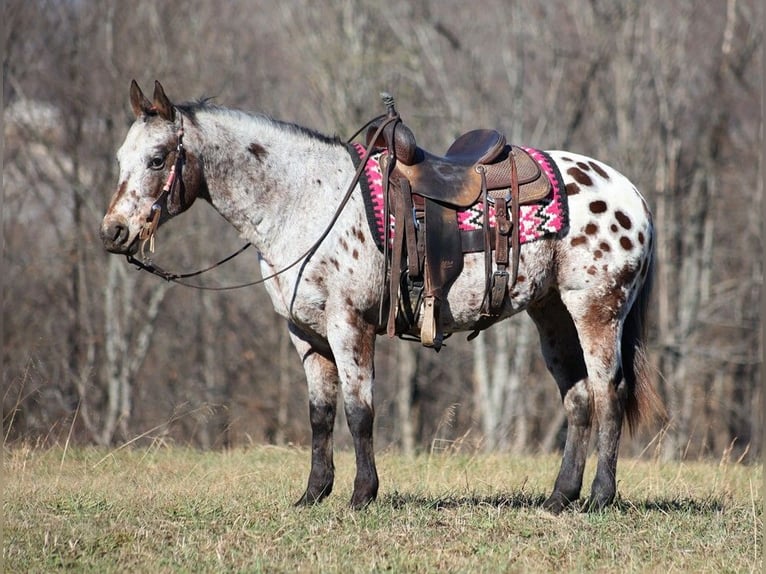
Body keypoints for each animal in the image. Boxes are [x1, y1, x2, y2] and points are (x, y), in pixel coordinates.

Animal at [102, 80, 664, 512]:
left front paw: (360, 496)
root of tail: (631, 195)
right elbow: (320, 414)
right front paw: (313, 494)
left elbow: (359, 411)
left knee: (608, 393)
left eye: (157, 158)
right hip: (552, 314)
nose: (113, 232)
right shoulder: (305, 333)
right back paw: (559, 498)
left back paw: (600, 498)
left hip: (597, 311)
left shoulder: (348, 325)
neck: (306, 200)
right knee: (578, 398)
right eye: (121, 158)